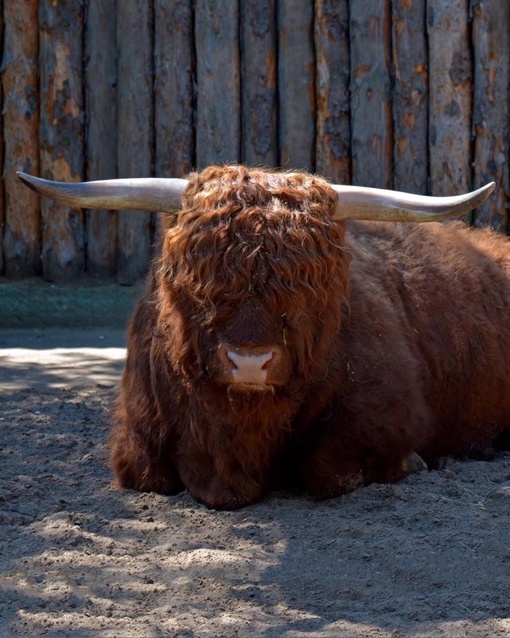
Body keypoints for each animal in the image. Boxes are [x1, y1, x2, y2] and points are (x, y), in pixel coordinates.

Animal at [16, 168, 510, 512]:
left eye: (305, 286)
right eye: (199, 283)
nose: (250, 362)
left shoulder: (389, 412)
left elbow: (328, 471)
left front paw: (415, 463)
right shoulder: (137, 438)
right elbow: (149, 474)